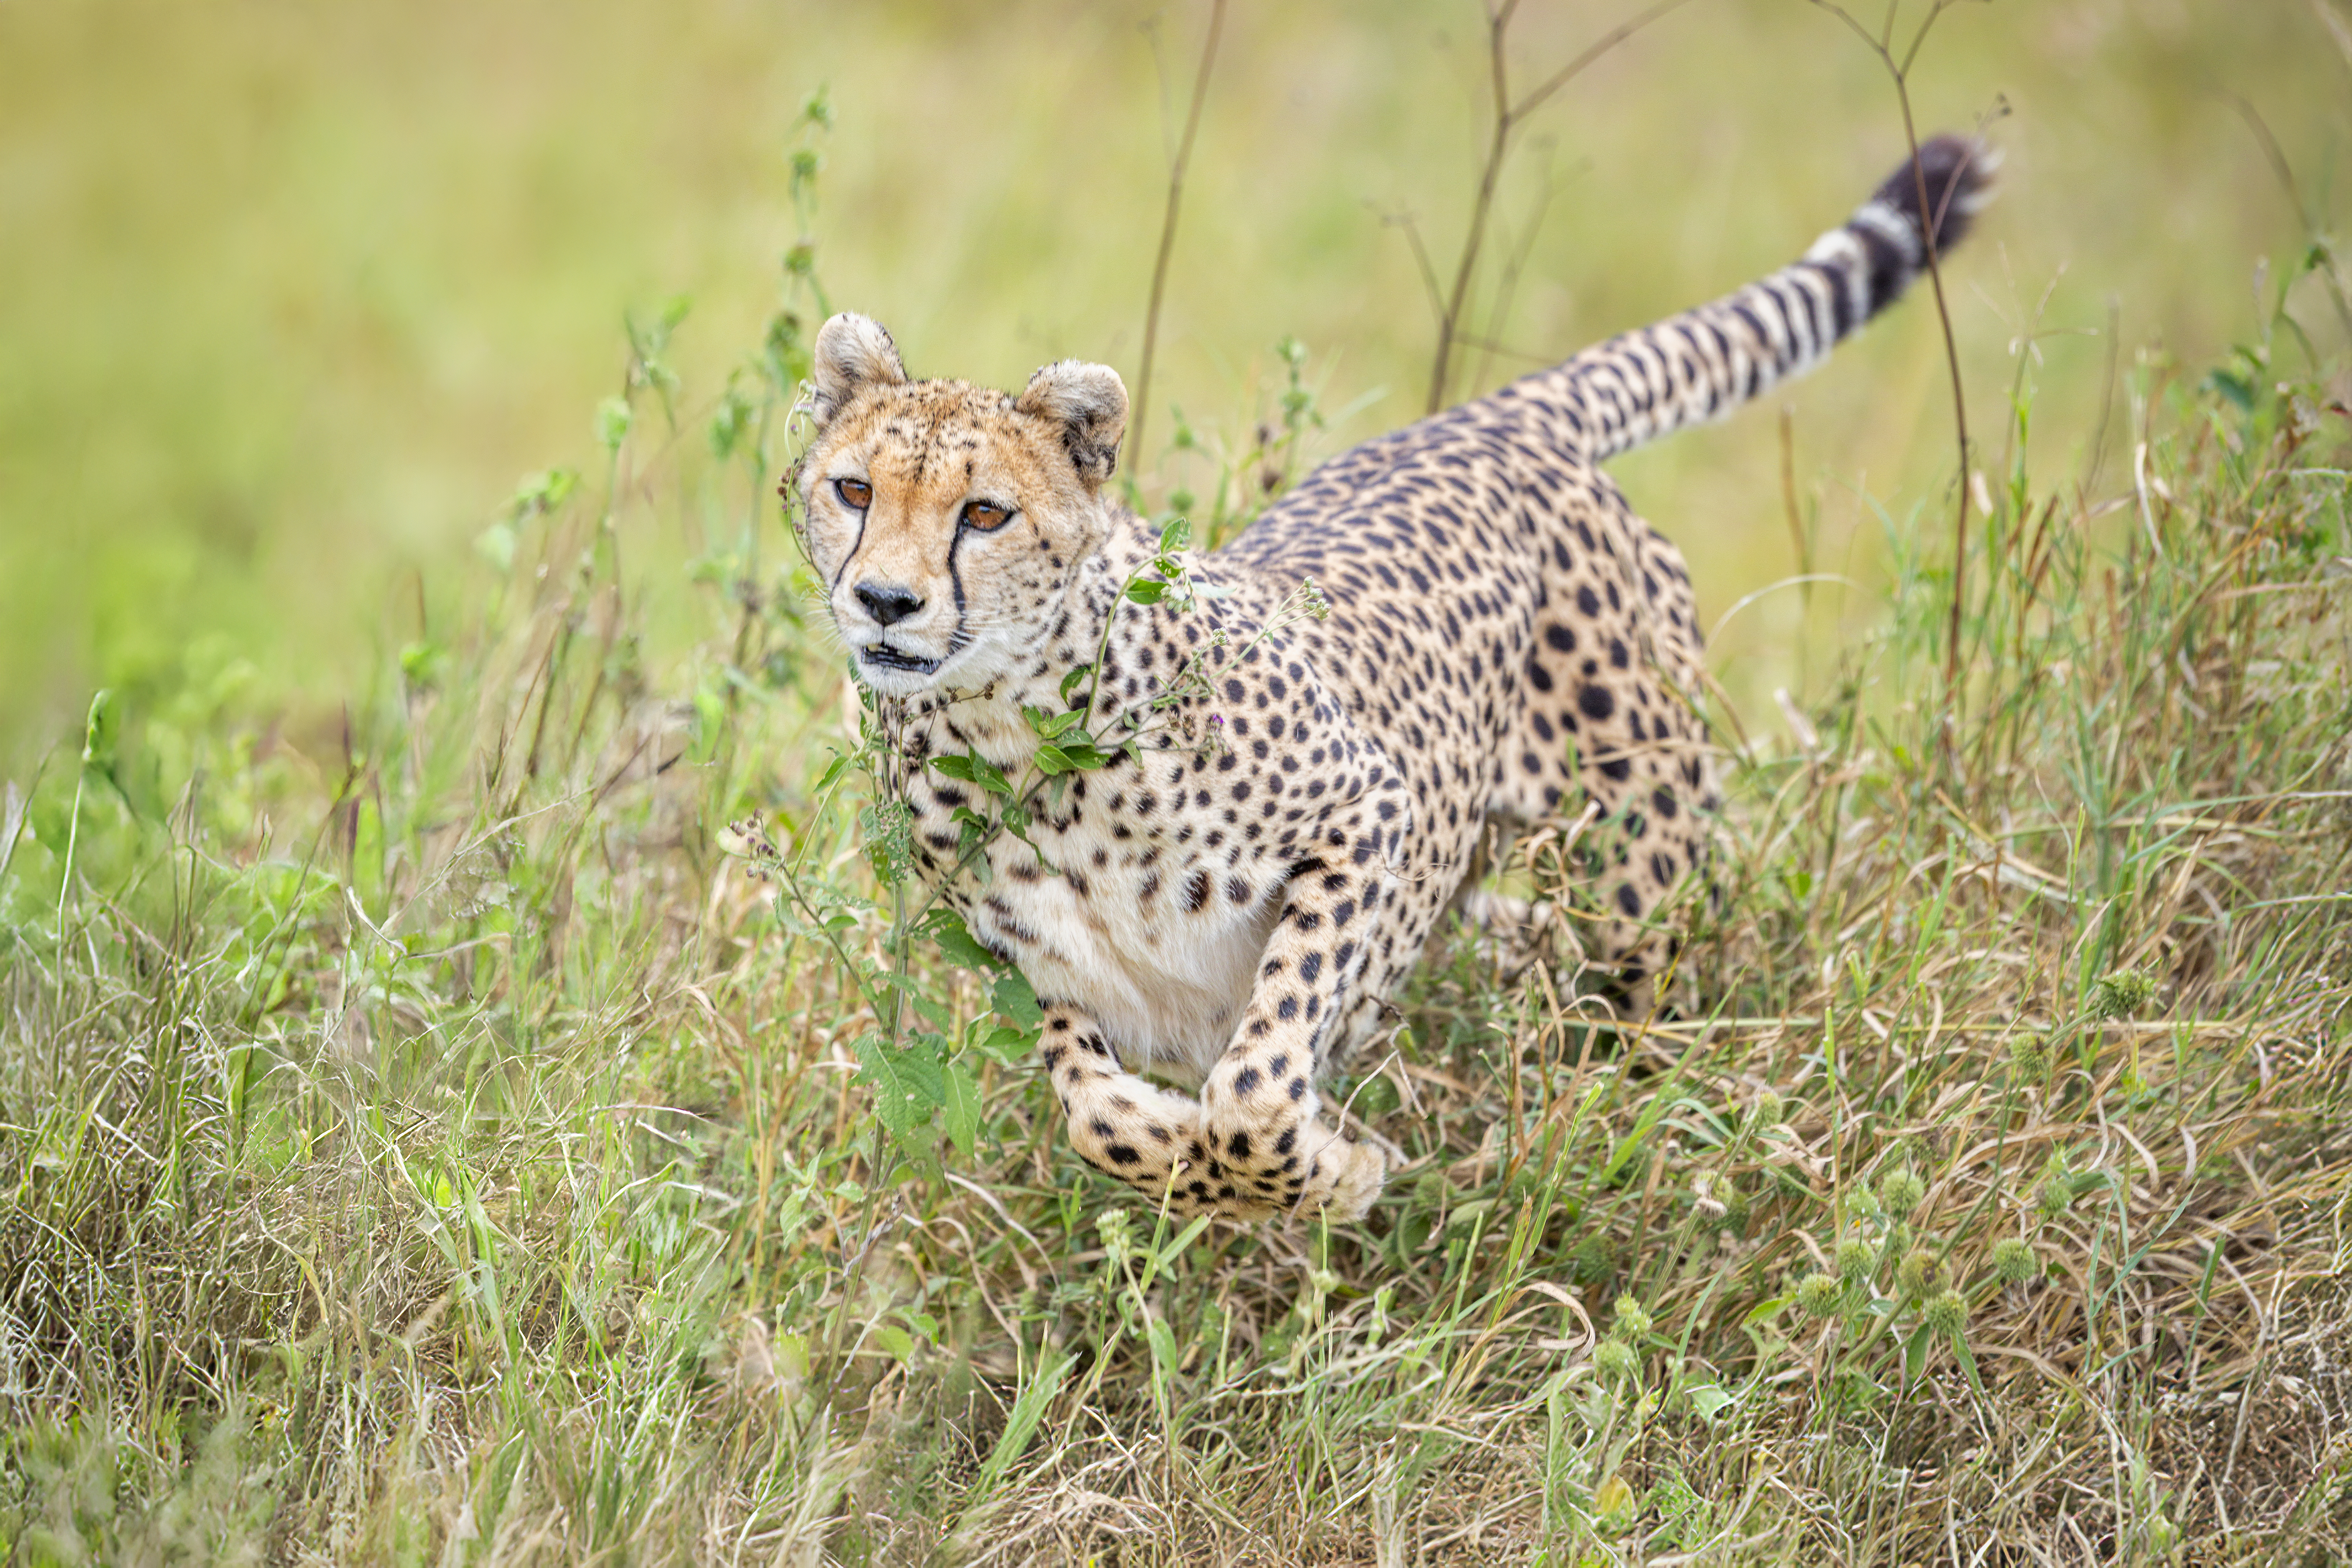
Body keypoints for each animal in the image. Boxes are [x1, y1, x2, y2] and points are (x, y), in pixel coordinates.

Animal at [785, 134, 1993, 1224]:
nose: (884, 602)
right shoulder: (1054, 973)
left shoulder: (1366, 813)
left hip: (1636, 857)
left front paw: (1330, 1171)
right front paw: (1201, 1153)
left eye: (984, 514)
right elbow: (1100, 1118)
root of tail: (1487, 417)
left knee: (1649, 1000)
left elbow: (1257, 1080)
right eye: (854, 490)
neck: (1010, 727)